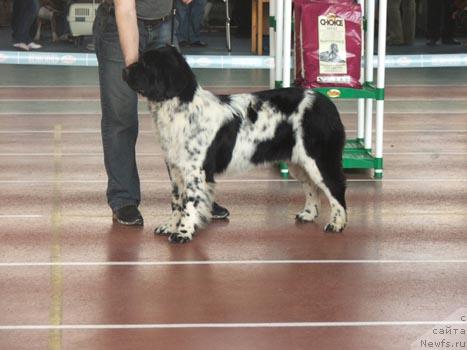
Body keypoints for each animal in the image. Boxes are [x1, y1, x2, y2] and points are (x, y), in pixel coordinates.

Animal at [124, 45, 348, 243]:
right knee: (311, 186)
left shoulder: (195, 171)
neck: (181, 109)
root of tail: (327, 103)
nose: (124, 70)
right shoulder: (175, 168)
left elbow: (189, 204)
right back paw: (308, 214)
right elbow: (177, 202)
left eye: (146, 63)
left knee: (335, 186)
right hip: (298, 162)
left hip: (319, 159)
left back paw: (337, 224)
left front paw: (183, 233)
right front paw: (170, 226)